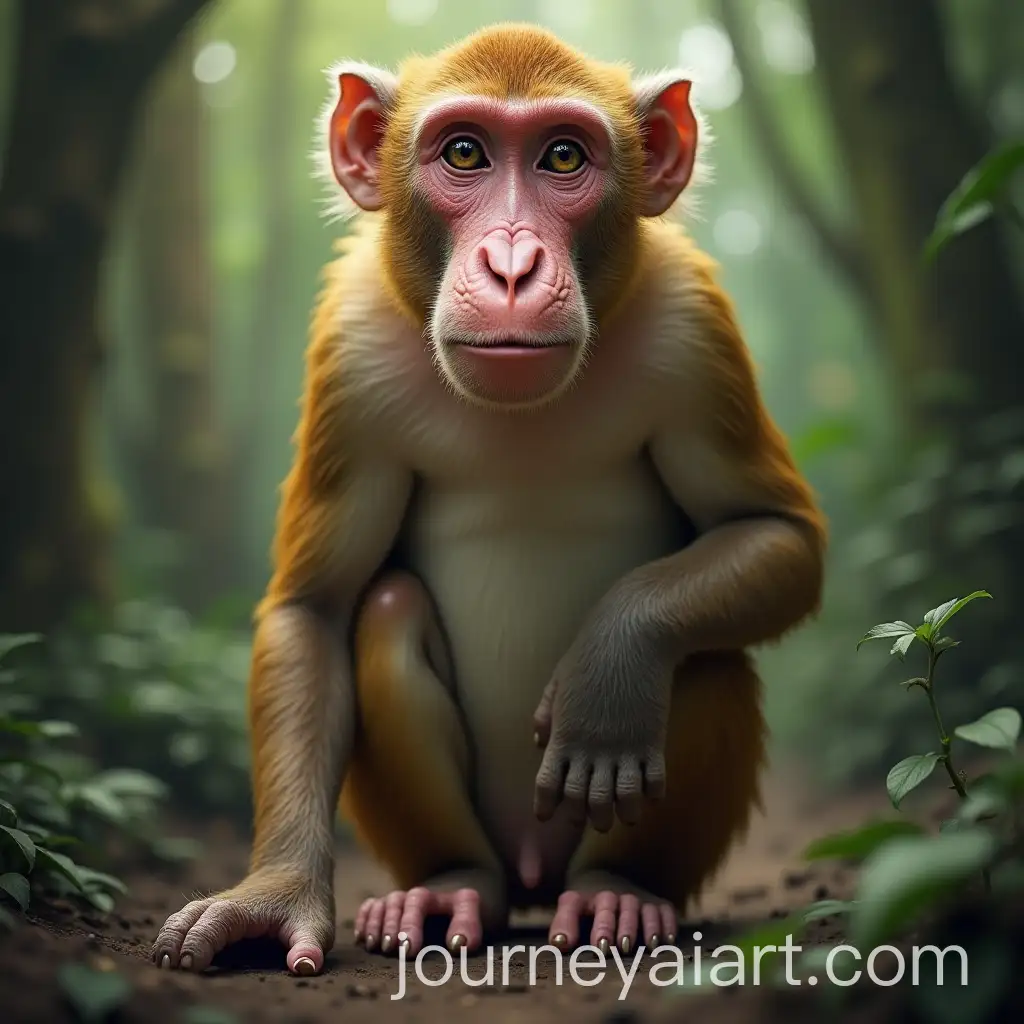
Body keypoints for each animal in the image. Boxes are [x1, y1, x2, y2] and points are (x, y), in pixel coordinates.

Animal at [152, 23, 825, 977]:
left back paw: (619, 891)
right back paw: (450, 887)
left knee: (705, 652)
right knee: (386, 612)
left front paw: (613, 663)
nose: (512, 264)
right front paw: (271, 894)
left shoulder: (694, 326)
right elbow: (315, 609)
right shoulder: (350, 342)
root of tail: (535, 875)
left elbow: (774, 535)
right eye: (464, 153)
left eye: (563, 156)